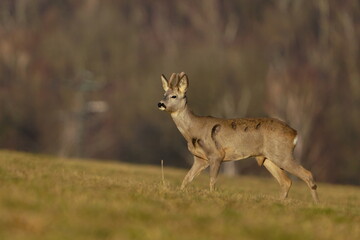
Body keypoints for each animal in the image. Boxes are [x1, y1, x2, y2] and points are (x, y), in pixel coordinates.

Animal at [157, 71, 318, 202]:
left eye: (174, 96)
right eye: (164, 94)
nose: (160, 104)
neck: (194, 129)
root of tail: (295, 133)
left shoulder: (216, 154)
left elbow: (212, 180)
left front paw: (212, 196)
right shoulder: (199, 159)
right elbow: (186, 179)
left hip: (282, 154)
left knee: (307, 174)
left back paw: (316, 204)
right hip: (269, 158)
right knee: (286, 181)